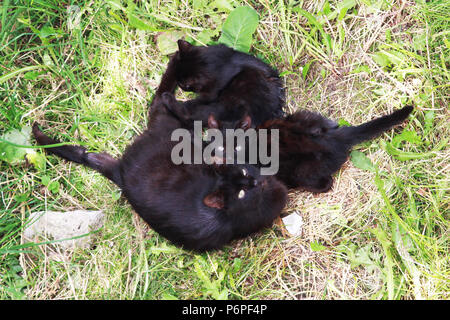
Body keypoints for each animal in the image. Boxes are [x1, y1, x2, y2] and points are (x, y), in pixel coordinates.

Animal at [34, 55, 288, 251]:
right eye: (241, 194)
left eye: (244, 172)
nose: (255, 182)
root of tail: (121, 171)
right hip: (175, 125)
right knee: (160, 98)